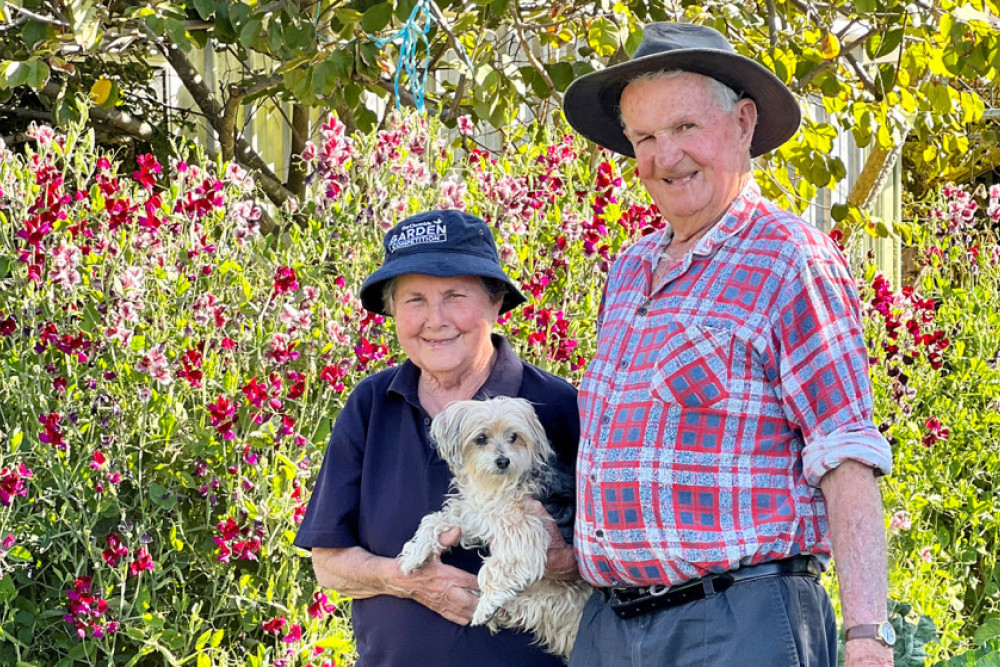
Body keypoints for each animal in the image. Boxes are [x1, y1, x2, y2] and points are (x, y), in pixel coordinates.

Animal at [394, 394, 588, 660]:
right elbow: (435, 520)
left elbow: (495, 568)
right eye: (480, 439)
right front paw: (415, 554)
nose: (503, 461)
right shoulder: (474, 515)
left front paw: (488, 603)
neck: (497, 487)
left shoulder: (522, 529)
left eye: (514, 437)